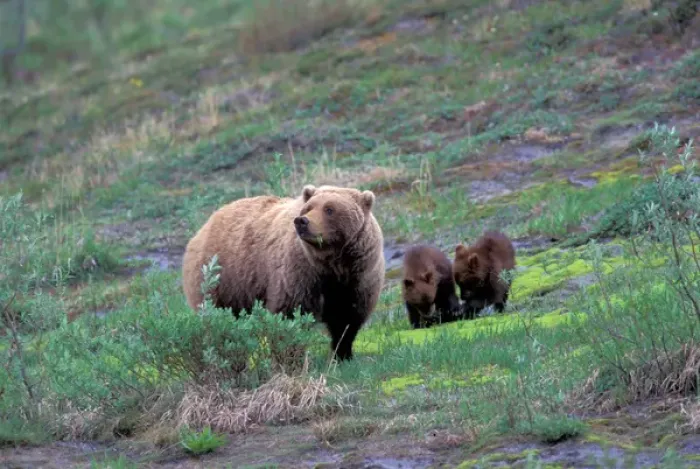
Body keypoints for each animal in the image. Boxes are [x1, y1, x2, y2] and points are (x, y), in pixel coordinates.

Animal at [181, 184, 385, 361]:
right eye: (308, 208)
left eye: (329, 209)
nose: (302, 221)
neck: (332, 264)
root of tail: (205, 225)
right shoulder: (300, 273)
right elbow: (291, 312)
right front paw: (291, 355)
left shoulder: (358, 279)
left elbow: (347, 319)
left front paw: (343, 355)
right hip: (222, 279)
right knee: (218, 316)